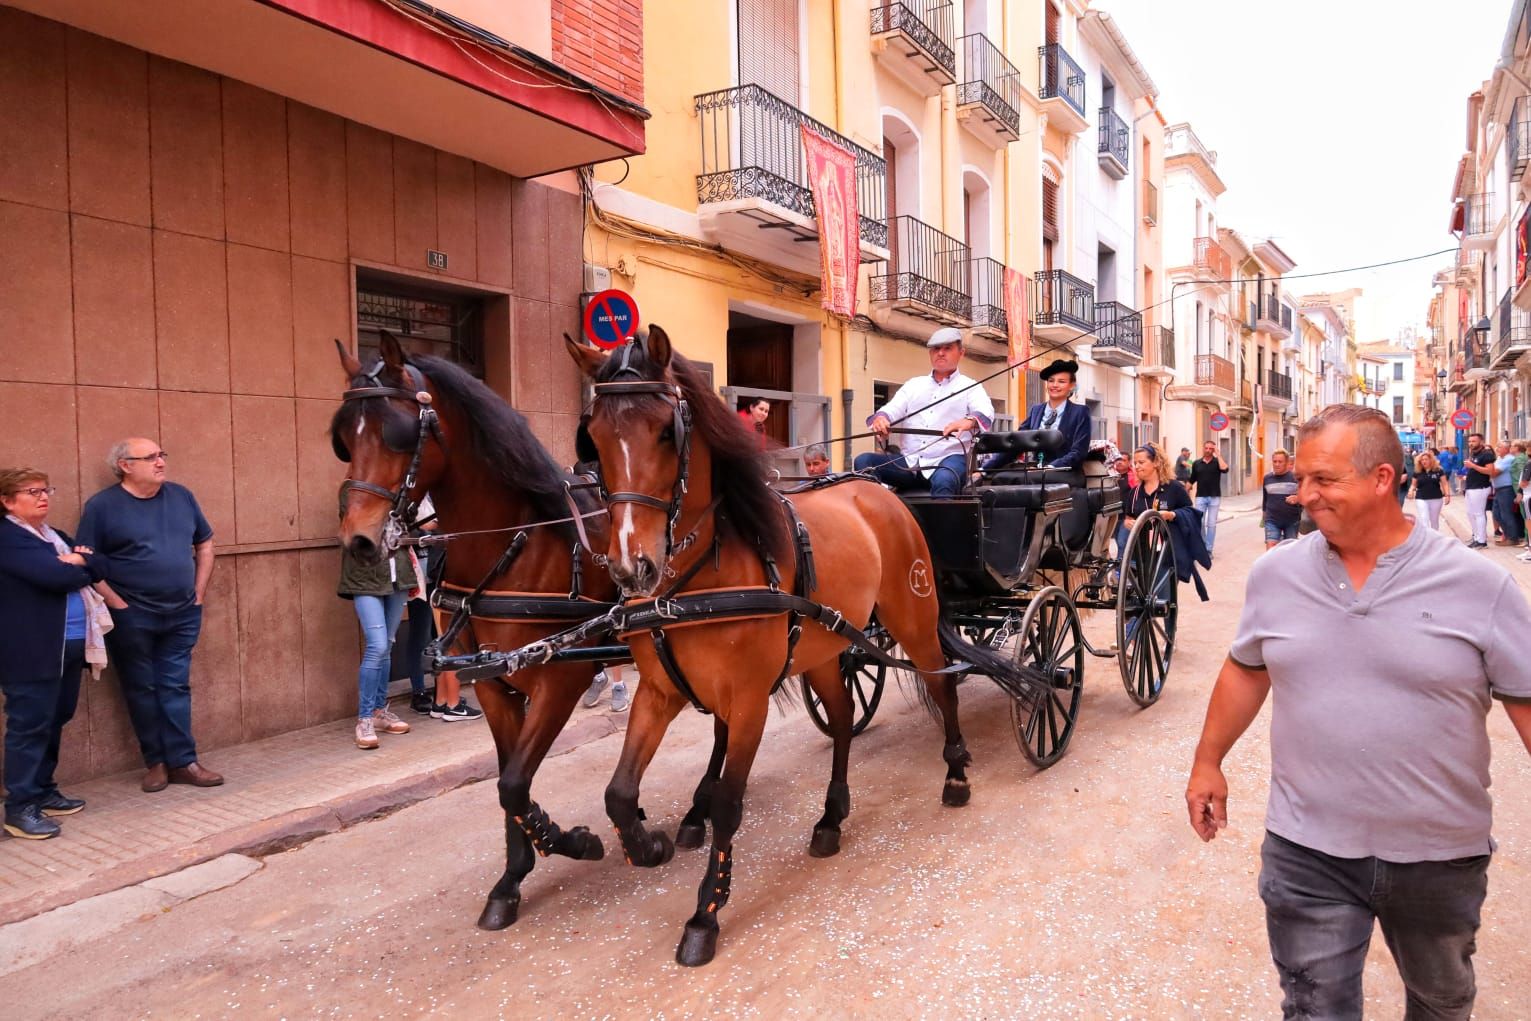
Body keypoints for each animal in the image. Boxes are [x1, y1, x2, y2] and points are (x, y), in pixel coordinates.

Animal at [569, 326, 1047, 967]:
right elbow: (619, 792)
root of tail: (881, 490)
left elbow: (729, 801)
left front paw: (705, 914)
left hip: (915, 617)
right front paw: (650, 845)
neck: (697, 578)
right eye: (593, 436)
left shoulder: (747, 700)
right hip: (824, 650)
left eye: (667, 431)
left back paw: (955, 775)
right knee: (844, 716)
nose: (630, 566)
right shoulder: (660, 691)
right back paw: (831, 818)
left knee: (942, 685)